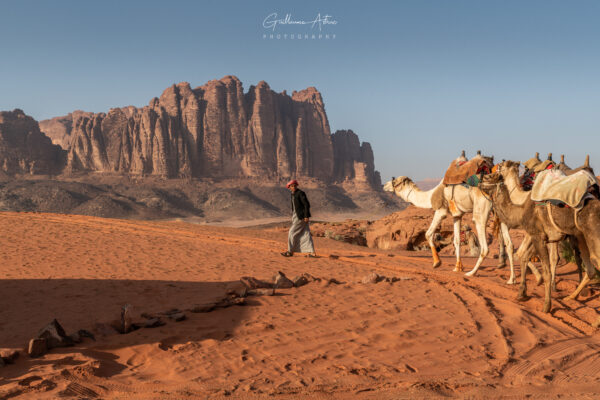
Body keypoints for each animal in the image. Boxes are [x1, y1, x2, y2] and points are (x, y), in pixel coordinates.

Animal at [384, 154, 520, 284]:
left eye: (395, 181)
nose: (385, 185)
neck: (431, 195)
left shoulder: (441, 210)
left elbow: (428, 234)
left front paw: (437, 263)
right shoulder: (457, 214)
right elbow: (456, 240)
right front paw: (457, 267)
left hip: (481, 211)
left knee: (485, 246)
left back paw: (471, 273)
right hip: (501, 214)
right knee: (510, 245)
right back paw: (511, 280)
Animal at [480, 171, 600, 312]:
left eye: (488, 177)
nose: (479, 183)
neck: (520, 212)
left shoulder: (537, 236)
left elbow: (546, 271)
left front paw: (546, 306)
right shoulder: (537, 236)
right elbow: (523, 257)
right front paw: (522, 293)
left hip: (593, 234)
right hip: (582, 236)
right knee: (591, 270)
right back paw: (570, 297)